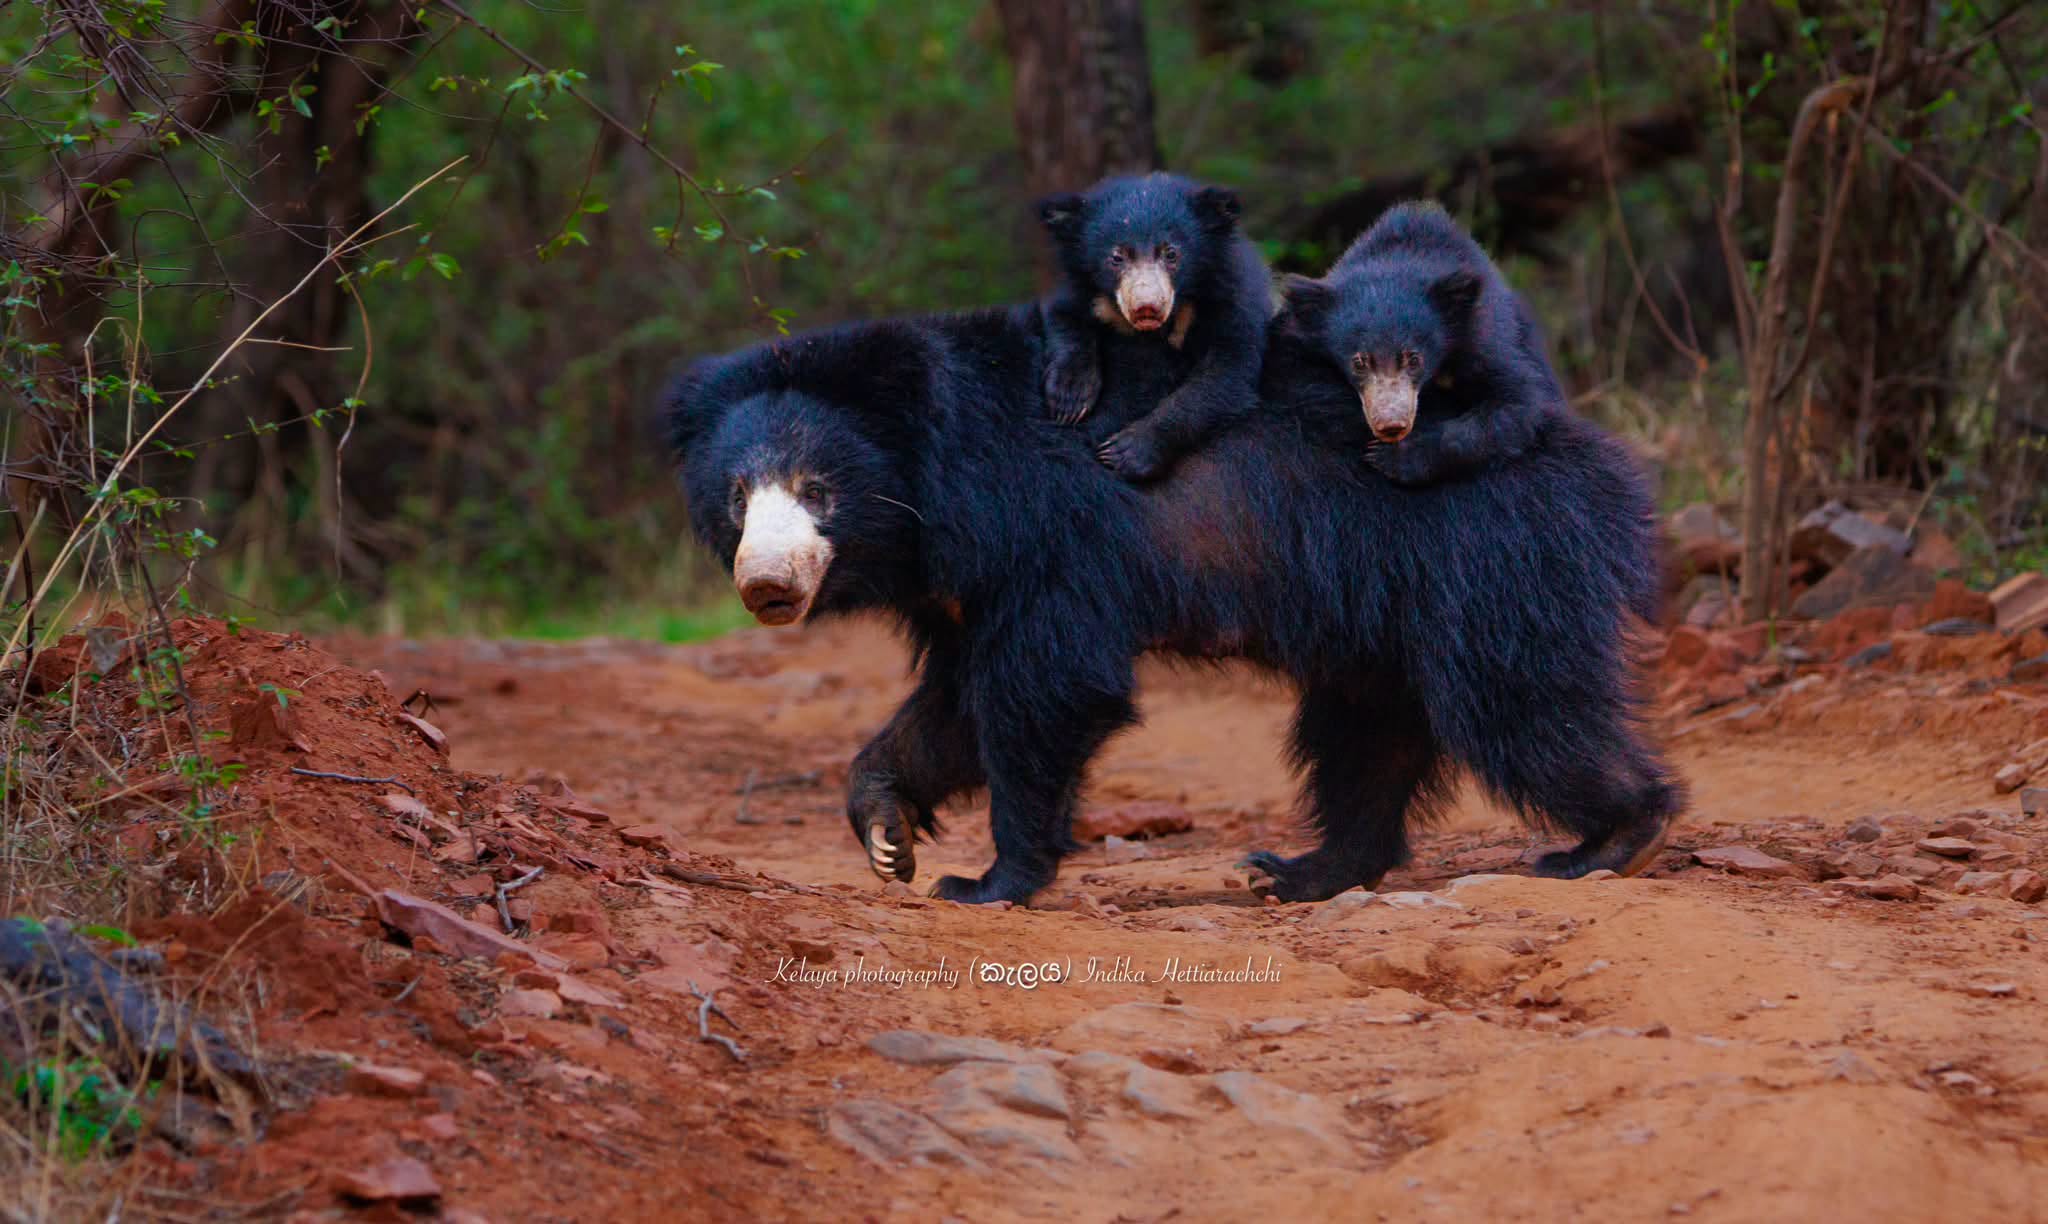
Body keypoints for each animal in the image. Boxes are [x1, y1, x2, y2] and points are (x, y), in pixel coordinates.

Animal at [664, 302, 1679, 906]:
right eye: (737, 495)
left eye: (817, 489)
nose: (767, 585)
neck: (937, 487)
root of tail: (1599, 463)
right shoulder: (965, 583)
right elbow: (953, 705)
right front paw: (885, 830)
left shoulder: (1048, 534)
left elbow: (1047, 690)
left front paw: (988, 879)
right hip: (1384, 607)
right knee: (1365, 734)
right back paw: (1303, 871)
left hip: (1487, 558)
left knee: (1518, 705)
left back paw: (1614, 837)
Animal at [1036, 173, 1272, 482]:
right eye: (1116, 257)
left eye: (1171, 254)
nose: (1146, 306)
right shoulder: (1083, 291)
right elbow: (1064, 316)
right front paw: (1070, 399)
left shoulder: (1232, 299)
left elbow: (1225, 373)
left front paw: (1124, 452)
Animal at [1280, 200, 1564, 488]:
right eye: (1359, 362)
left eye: (1414, 358)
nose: (1391, 425)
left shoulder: (1484, 338)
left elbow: (1516, 402)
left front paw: (1396, 458)